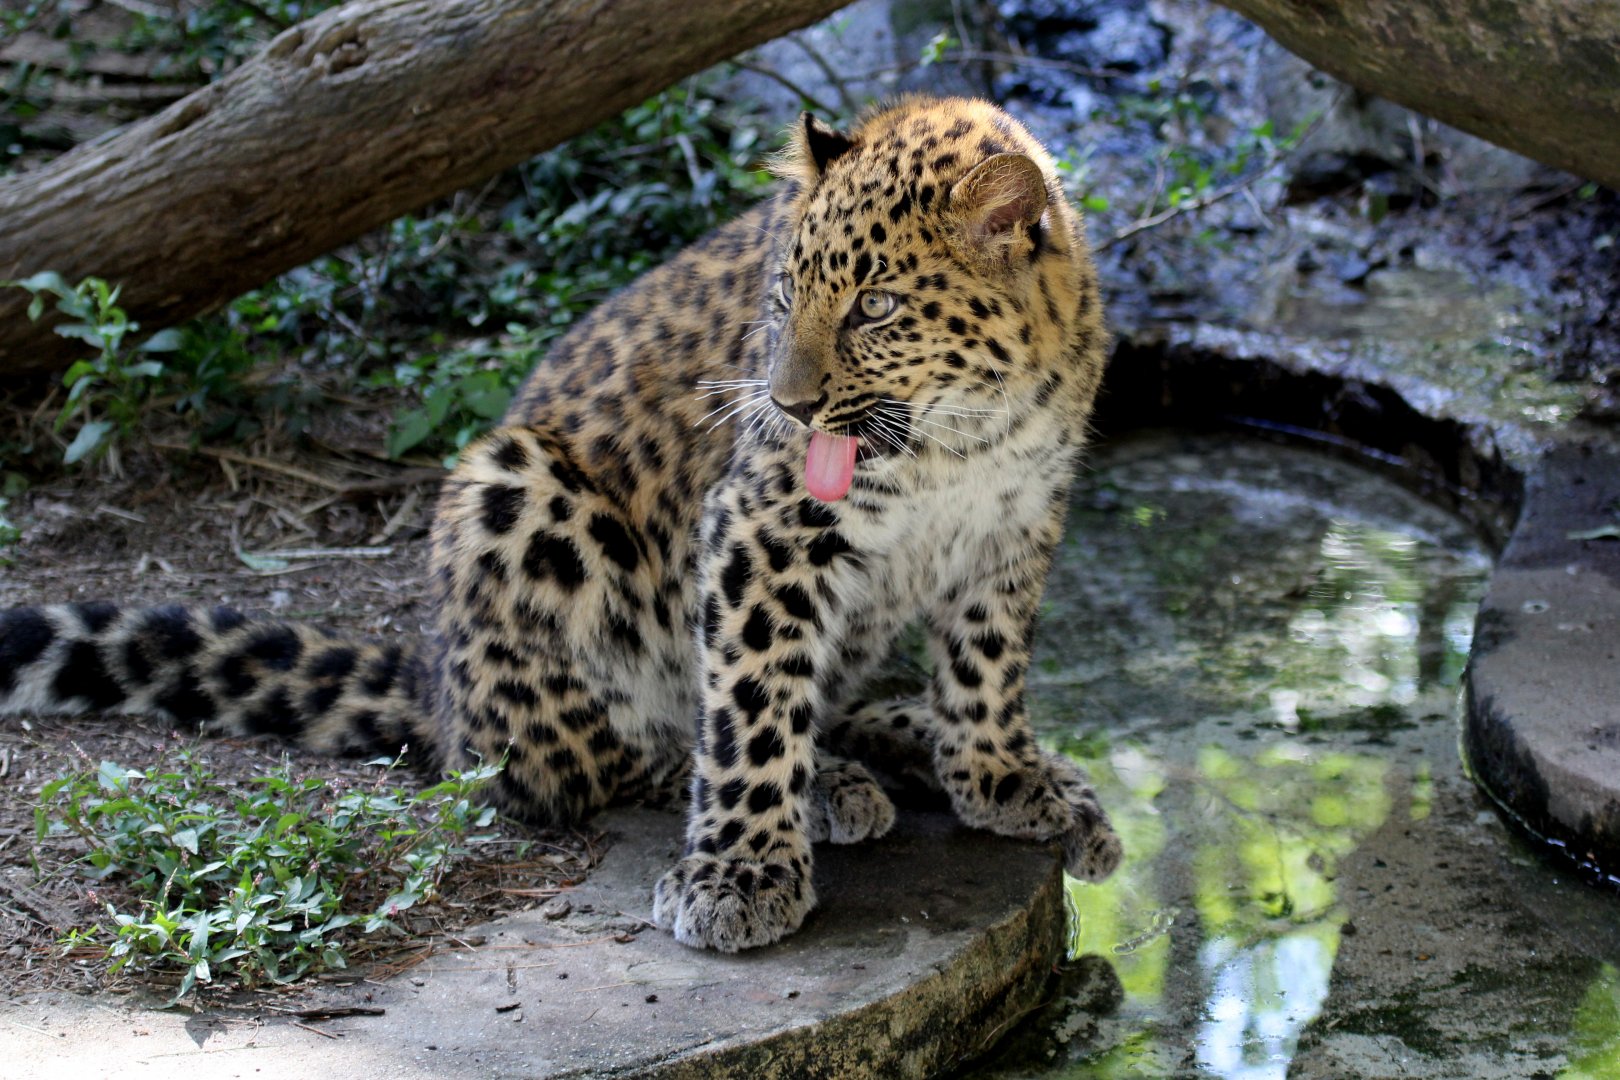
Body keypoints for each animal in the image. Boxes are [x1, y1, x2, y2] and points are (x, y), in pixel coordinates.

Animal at [0, 96, 1121, 952]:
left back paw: (930, 748)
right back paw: (811, 786)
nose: (786, 404)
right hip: (513, 493)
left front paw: (1001, 773)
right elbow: (751, 705)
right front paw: (741, 874)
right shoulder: (761, 526)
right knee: (585, 761)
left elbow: (986, 665)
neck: (965, 438)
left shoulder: (1018, 524)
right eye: (785, 294)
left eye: (877, 309)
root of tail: (439, 685)